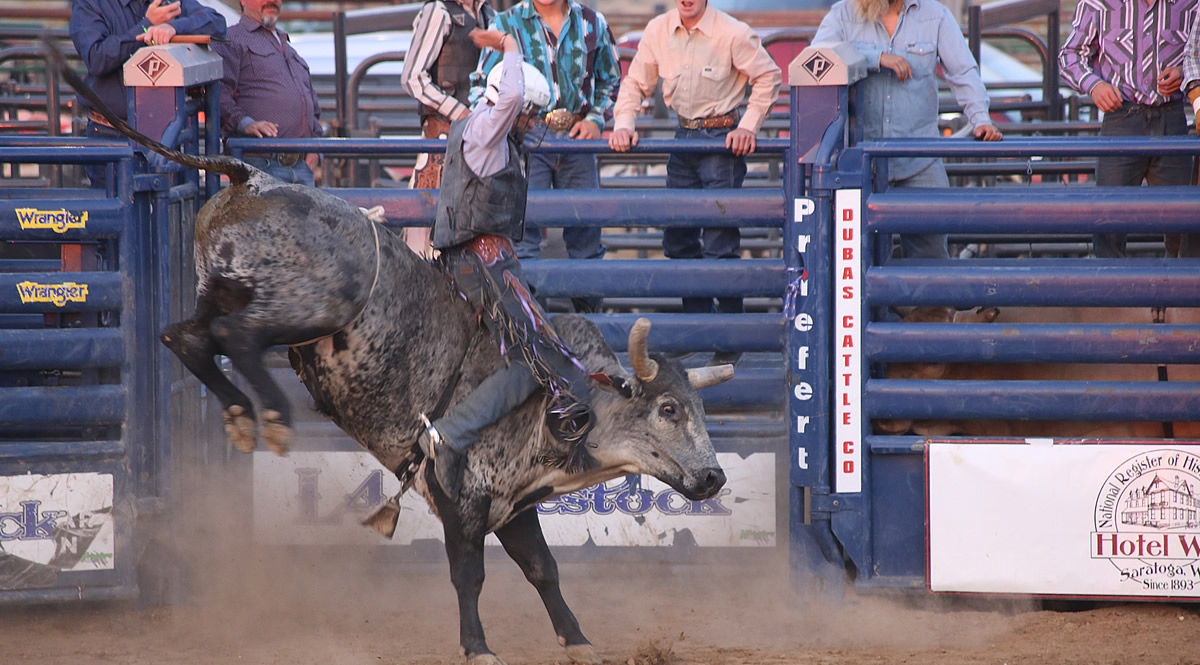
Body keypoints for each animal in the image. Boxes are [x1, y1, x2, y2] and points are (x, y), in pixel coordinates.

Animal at [51, 44, 729, 657]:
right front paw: (477, 646)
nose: (715, 476)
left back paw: (244, 417)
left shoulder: (513, 507)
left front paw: (578, 640)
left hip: (227, 292)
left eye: (698, 409)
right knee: (236, 339)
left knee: (187, 337)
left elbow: (543, 570)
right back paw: (271, 416)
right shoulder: (462, 496)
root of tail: (253, 176)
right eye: (669, 410)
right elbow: (469, 576)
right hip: (310, 306)